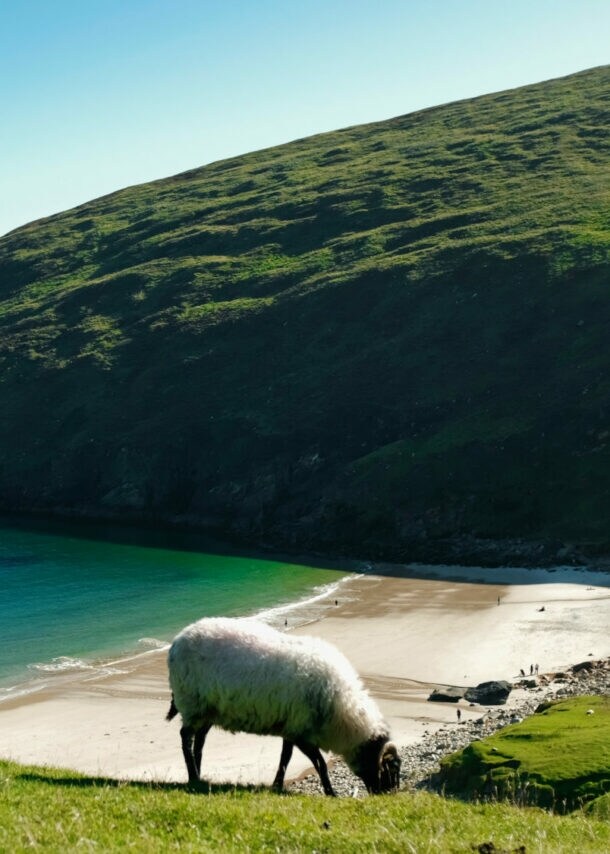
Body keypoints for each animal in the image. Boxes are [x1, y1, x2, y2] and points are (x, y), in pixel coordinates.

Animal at [166, 616, 401, 796]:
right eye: (390, 767)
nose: (385, 795)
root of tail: (176, 642)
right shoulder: (302, 733)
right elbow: (320, 764)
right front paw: (331, 793)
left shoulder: (293, 727)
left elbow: (285, 758)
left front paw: (277, 785)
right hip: (192, 703)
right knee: (185, 738)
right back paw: (192, 776)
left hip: (207, 709)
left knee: (199, 742)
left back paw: (199, 777)